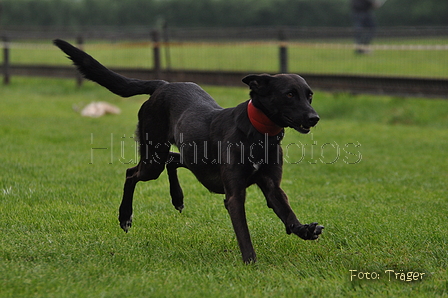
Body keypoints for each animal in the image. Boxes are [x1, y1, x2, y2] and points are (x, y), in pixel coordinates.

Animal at [55, 39, 322, 264]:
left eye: (309, 95)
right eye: (290, 94)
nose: (314, 118)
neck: (257, 134)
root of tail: (162, 85)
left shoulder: (271, 185)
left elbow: (287, 213)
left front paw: (305, 230)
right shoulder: (234, 195)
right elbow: (243, 232)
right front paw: (250, 262)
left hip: (189, 157)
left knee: (172, 161)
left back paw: (178, 198)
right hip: (153, 157)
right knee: (132, 173)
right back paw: (125, 216)